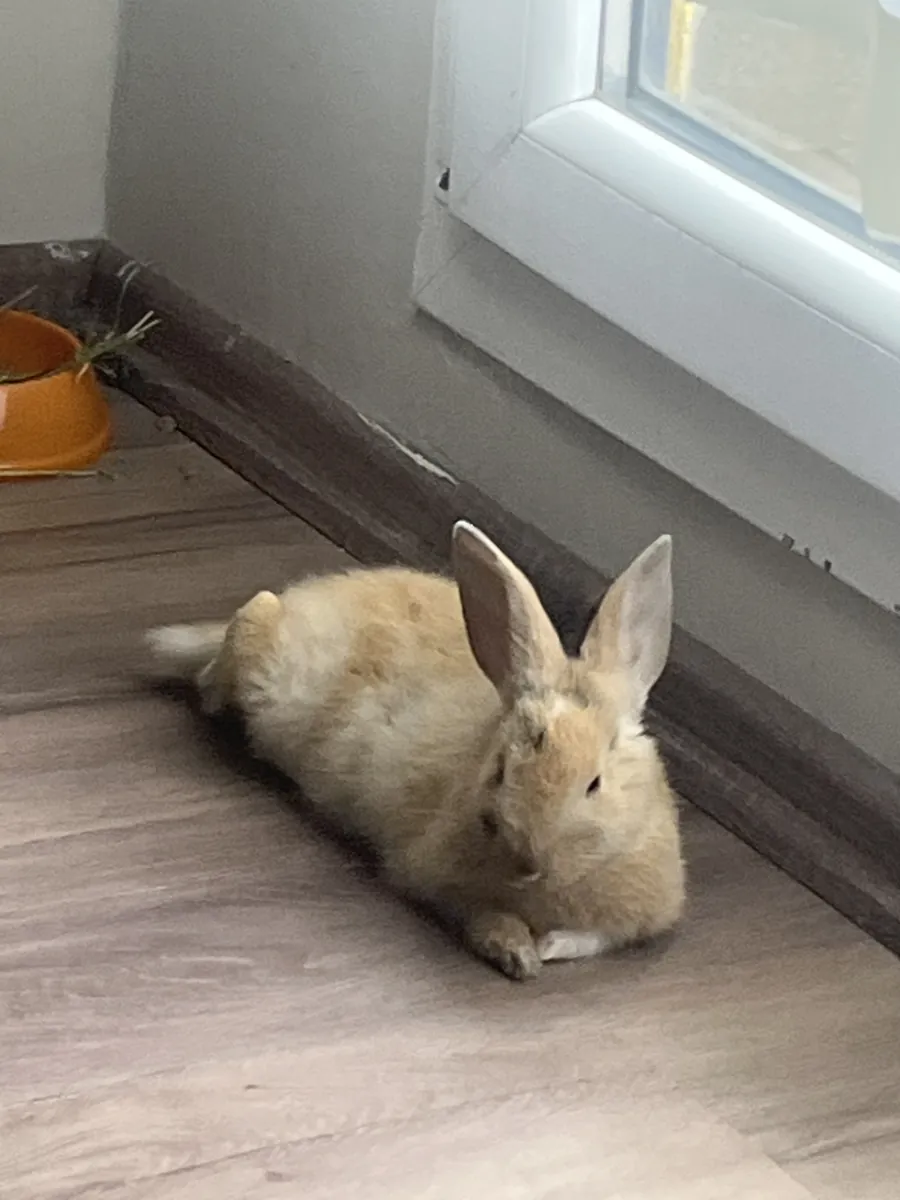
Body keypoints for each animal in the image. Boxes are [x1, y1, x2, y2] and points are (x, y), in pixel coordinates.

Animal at [146, 521, 684, 980]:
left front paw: (549, 947)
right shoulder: (436, 877)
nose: (527, 861)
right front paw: (517, 950)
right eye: (501, 770)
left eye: (595, 783)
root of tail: (298, 601)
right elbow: (480, 913)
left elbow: (594, 938)